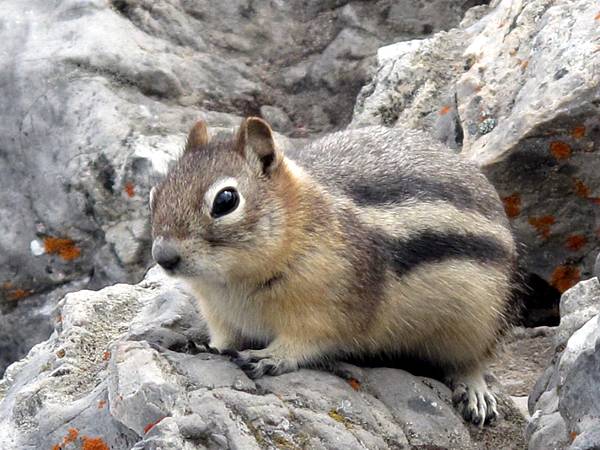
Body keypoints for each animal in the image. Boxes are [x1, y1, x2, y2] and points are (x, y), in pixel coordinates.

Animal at [150, 117, 516, 426]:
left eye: (226, 200)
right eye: (156, 194)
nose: (163, 256)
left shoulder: (331, 311)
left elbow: (310, 341)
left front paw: (270, 356)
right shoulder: (220, 314)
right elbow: (224, 339)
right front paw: (206, 347)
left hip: (477, 319)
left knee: (473, 359)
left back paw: (475, 390)